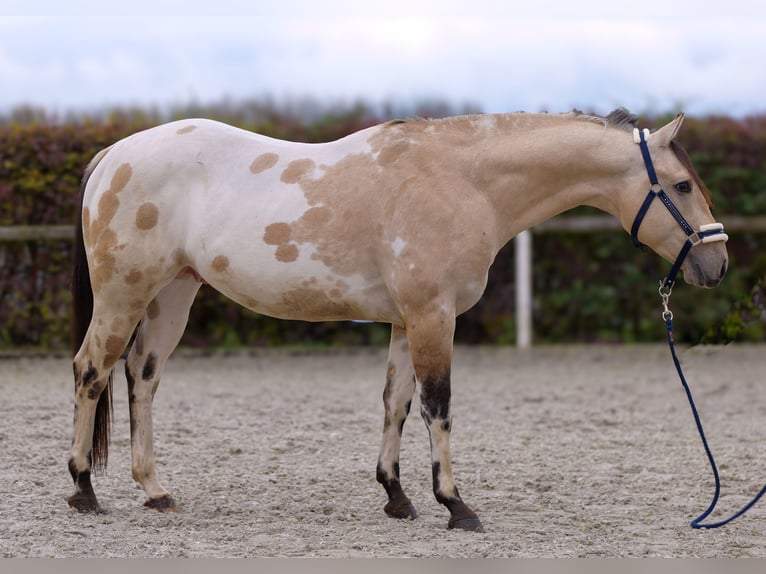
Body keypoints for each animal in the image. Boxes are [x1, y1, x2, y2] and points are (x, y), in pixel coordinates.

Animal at [69, 107, 728, 532]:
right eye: (681, 185)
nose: (716, 264)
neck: (464, 180)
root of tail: (113, 155)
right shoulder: (433, 316)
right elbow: (439, 406)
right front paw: (456, 506)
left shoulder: (406, 321)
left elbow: (397, 403)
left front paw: (396, 496)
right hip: (124, 295)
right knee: (91, 372)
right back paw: (83, 488)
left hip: (173, 296)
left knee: (142, 379)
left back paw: (155, 491)